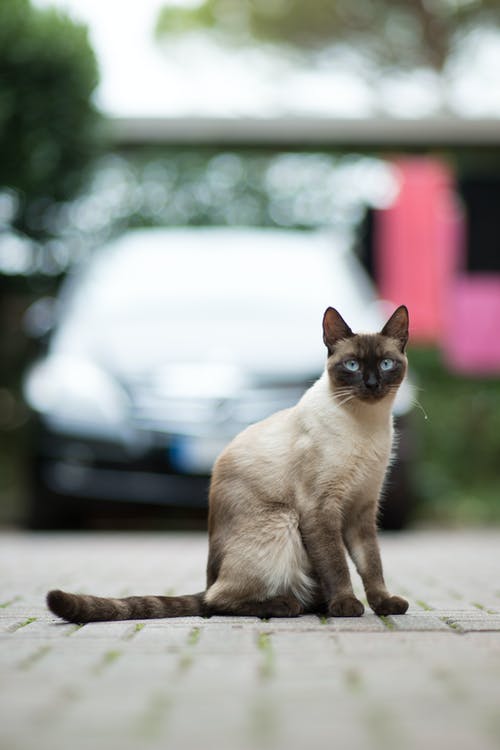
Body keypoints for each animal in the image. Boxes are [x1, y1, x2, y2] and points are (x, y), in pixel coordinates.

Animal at [46, 304, 410, 624]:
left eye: (386, 363)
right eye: (352, 366)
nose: (372, 384)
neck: (366, 425)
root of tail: (210, 576)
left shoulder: (361, 509)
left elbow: (371, 563)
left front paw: (384, 605)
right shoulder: (321, 509)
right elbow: (337, 565)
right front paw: (347, 605)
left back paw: (312, 604)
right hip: (282, 523)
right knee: (216, 600)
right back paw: (285, 604)